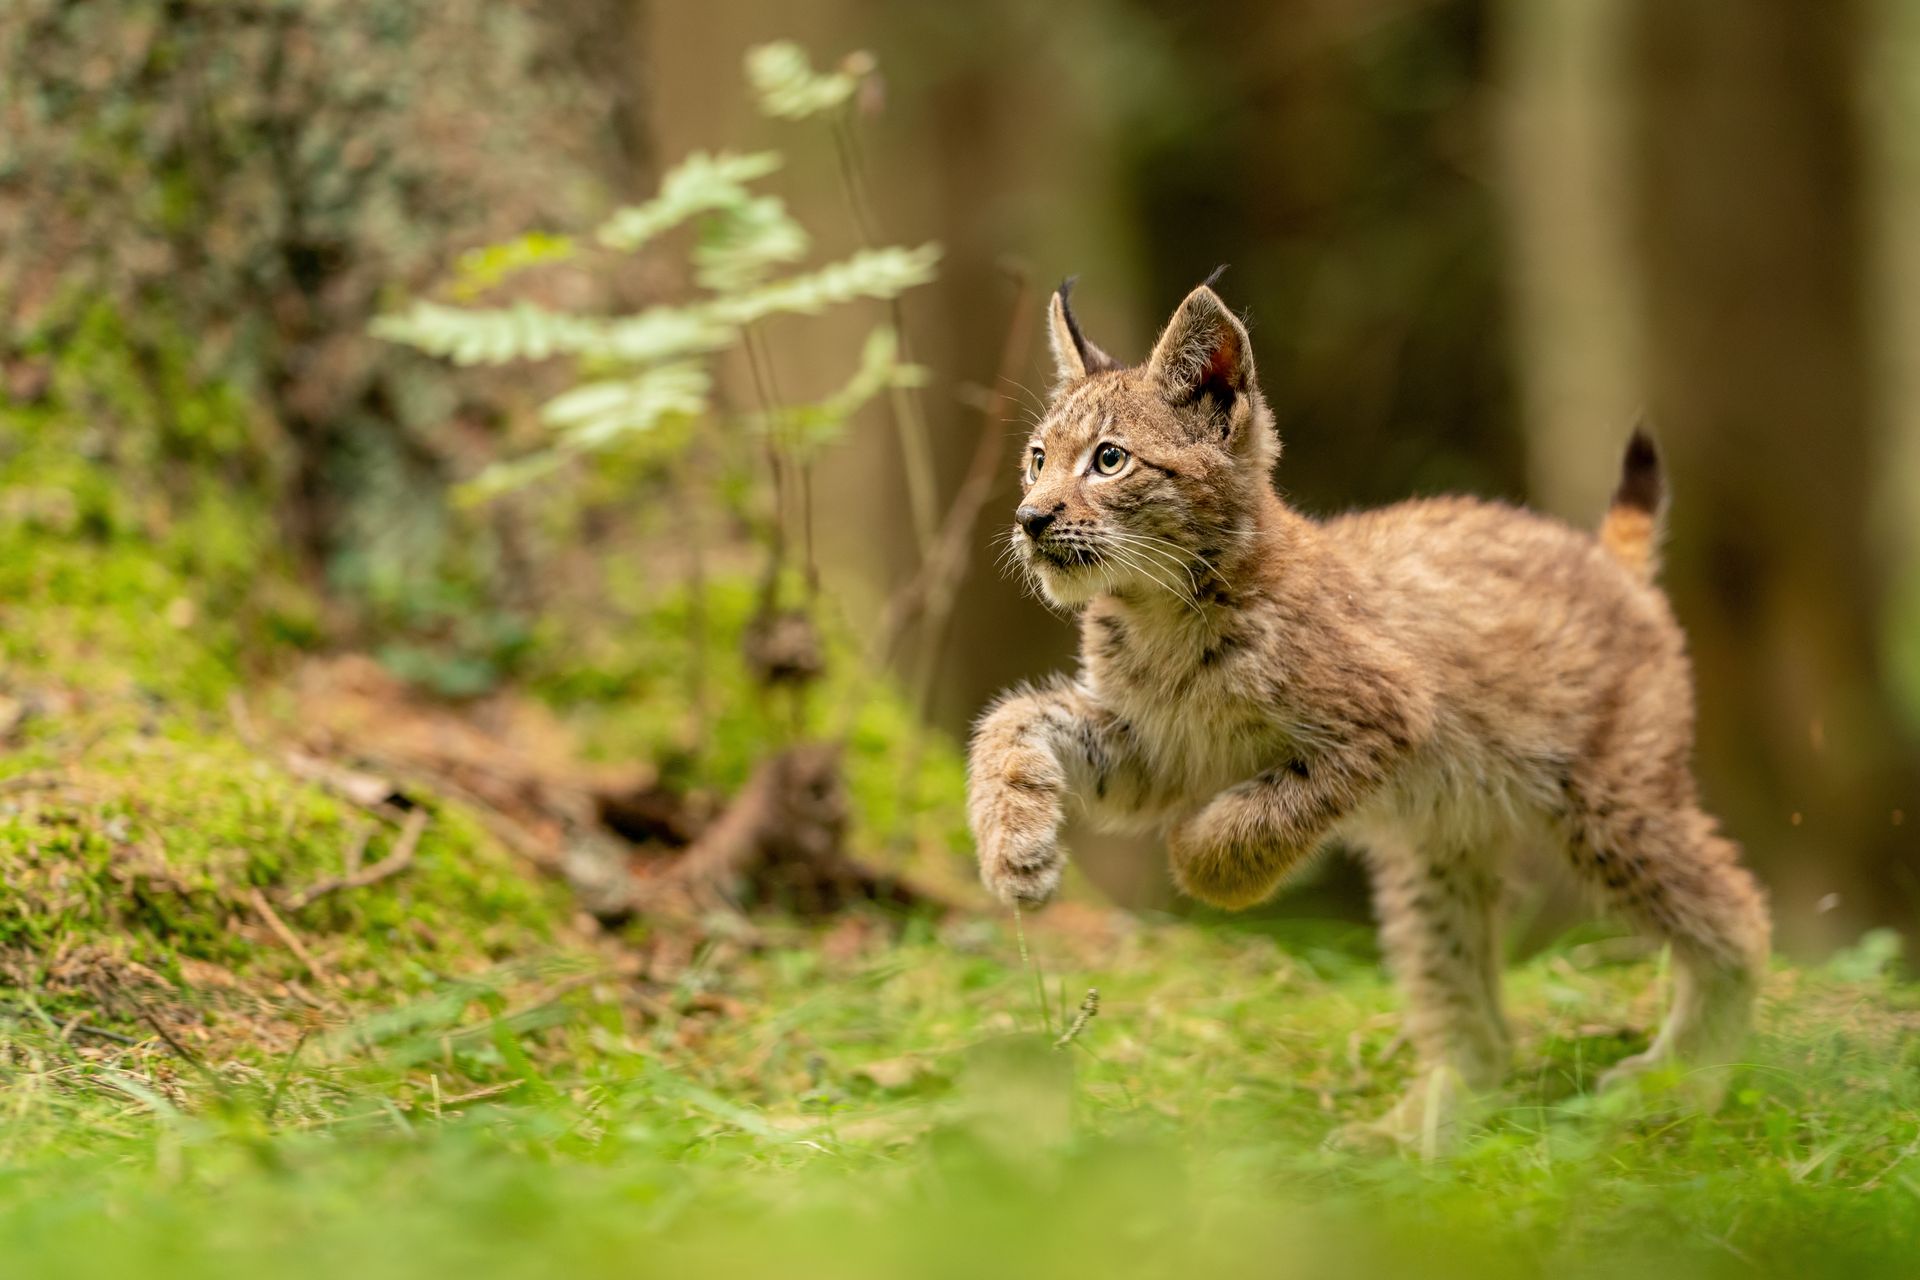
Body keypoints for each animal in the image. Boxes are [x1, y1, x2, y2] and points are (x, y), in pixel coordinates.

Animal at [967, 280, 1774, 1143]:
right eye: (1037, 460)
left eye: (1109, 460)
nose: (1030, 519)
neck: (1160, 605)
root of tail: (1603, 558)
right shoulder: (1158, 747)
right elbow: (1011, 721)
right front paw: (1015, 854)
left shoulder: (1387, 717)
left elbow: (1258, 814)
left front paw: (1200, 868)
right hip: (1438, 851)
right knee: (1473, 1011)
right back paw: (1420, 1127)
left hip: (1610, 799)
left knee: (1739, 911)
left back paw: (1681, 1080)